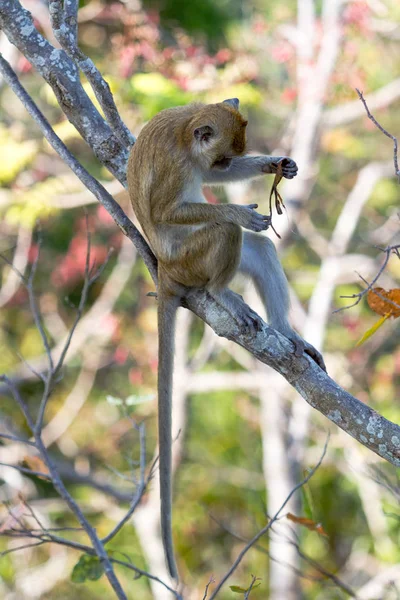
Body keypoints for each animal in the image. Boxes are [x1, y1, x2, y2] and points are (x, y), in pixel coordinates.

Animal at [127, 99, 324, 580]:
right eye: (220, 157)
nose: (224, 163)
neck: (183, 129)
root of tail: (165, 272)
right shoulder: (174, 164)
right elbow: (165, 210)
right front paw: (237, 210)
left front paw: (277, 164)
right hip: (189, 260)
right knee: (224, 235)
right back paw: (221, 290)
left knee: (261, 251)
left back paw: (287, 334)